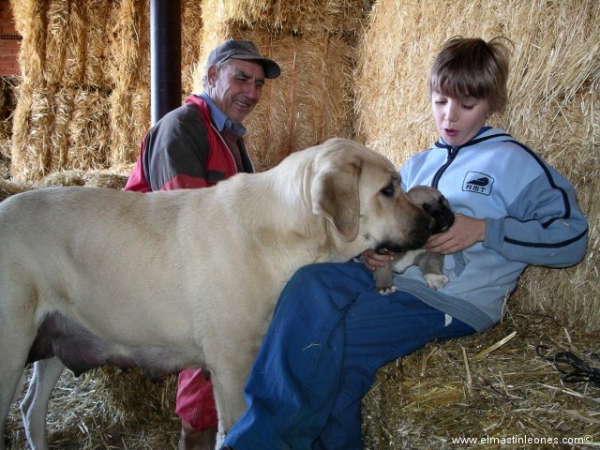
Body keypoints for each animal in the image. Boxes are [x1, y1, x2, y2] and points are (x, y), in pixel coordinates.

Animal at [0, 138, 432, 450]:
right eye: (388, 190)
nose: (432, 221)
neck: (280, 236)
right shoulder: (230, 364)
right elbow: (233, 425)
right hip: (11, 350)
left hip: (57, 339)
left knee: (32, 408)